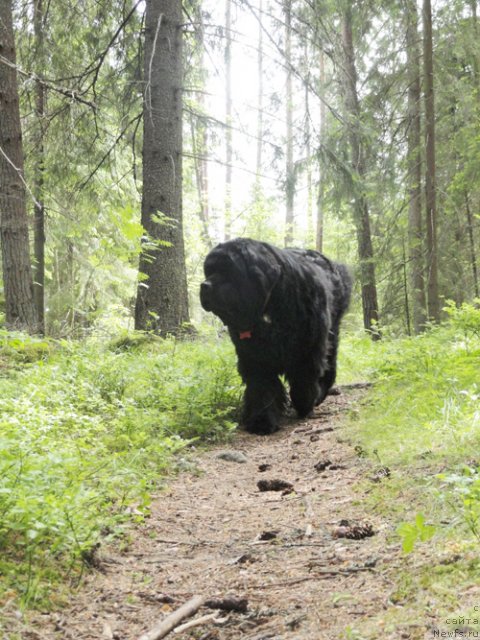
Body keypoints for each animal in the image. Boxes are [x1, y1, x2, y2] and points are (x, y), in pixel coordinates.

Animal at [199, 239, 352, 436]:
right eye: (209, 271)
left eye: (229, 271)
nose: (204, 285)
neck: (268, 309)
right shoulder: (255, 357)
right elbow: (262, 388)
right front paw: (262, 421)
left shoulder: (307, 351)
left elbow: (303, 383)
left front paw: (305, 405)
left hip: (331, 332)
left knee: (329, 363)